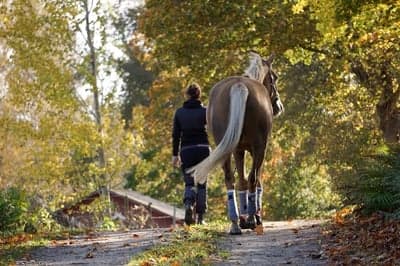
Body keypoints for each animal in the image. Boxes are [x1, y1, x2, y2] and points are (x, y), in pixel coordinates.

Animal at [188, 52, 284, 235]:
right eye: (274, 77)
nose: (278, 106)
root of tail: (239, 86)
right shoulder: (258, 150)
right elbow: (256, 180)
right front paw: (254, 217)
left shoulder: (238, 150)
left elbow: (242, 180)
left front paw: (243, 218)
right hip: (259, 147)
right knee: (253, 178)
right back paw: (252, 219)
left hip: (225, 148)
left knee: (230, 179)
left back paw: (235, 223)